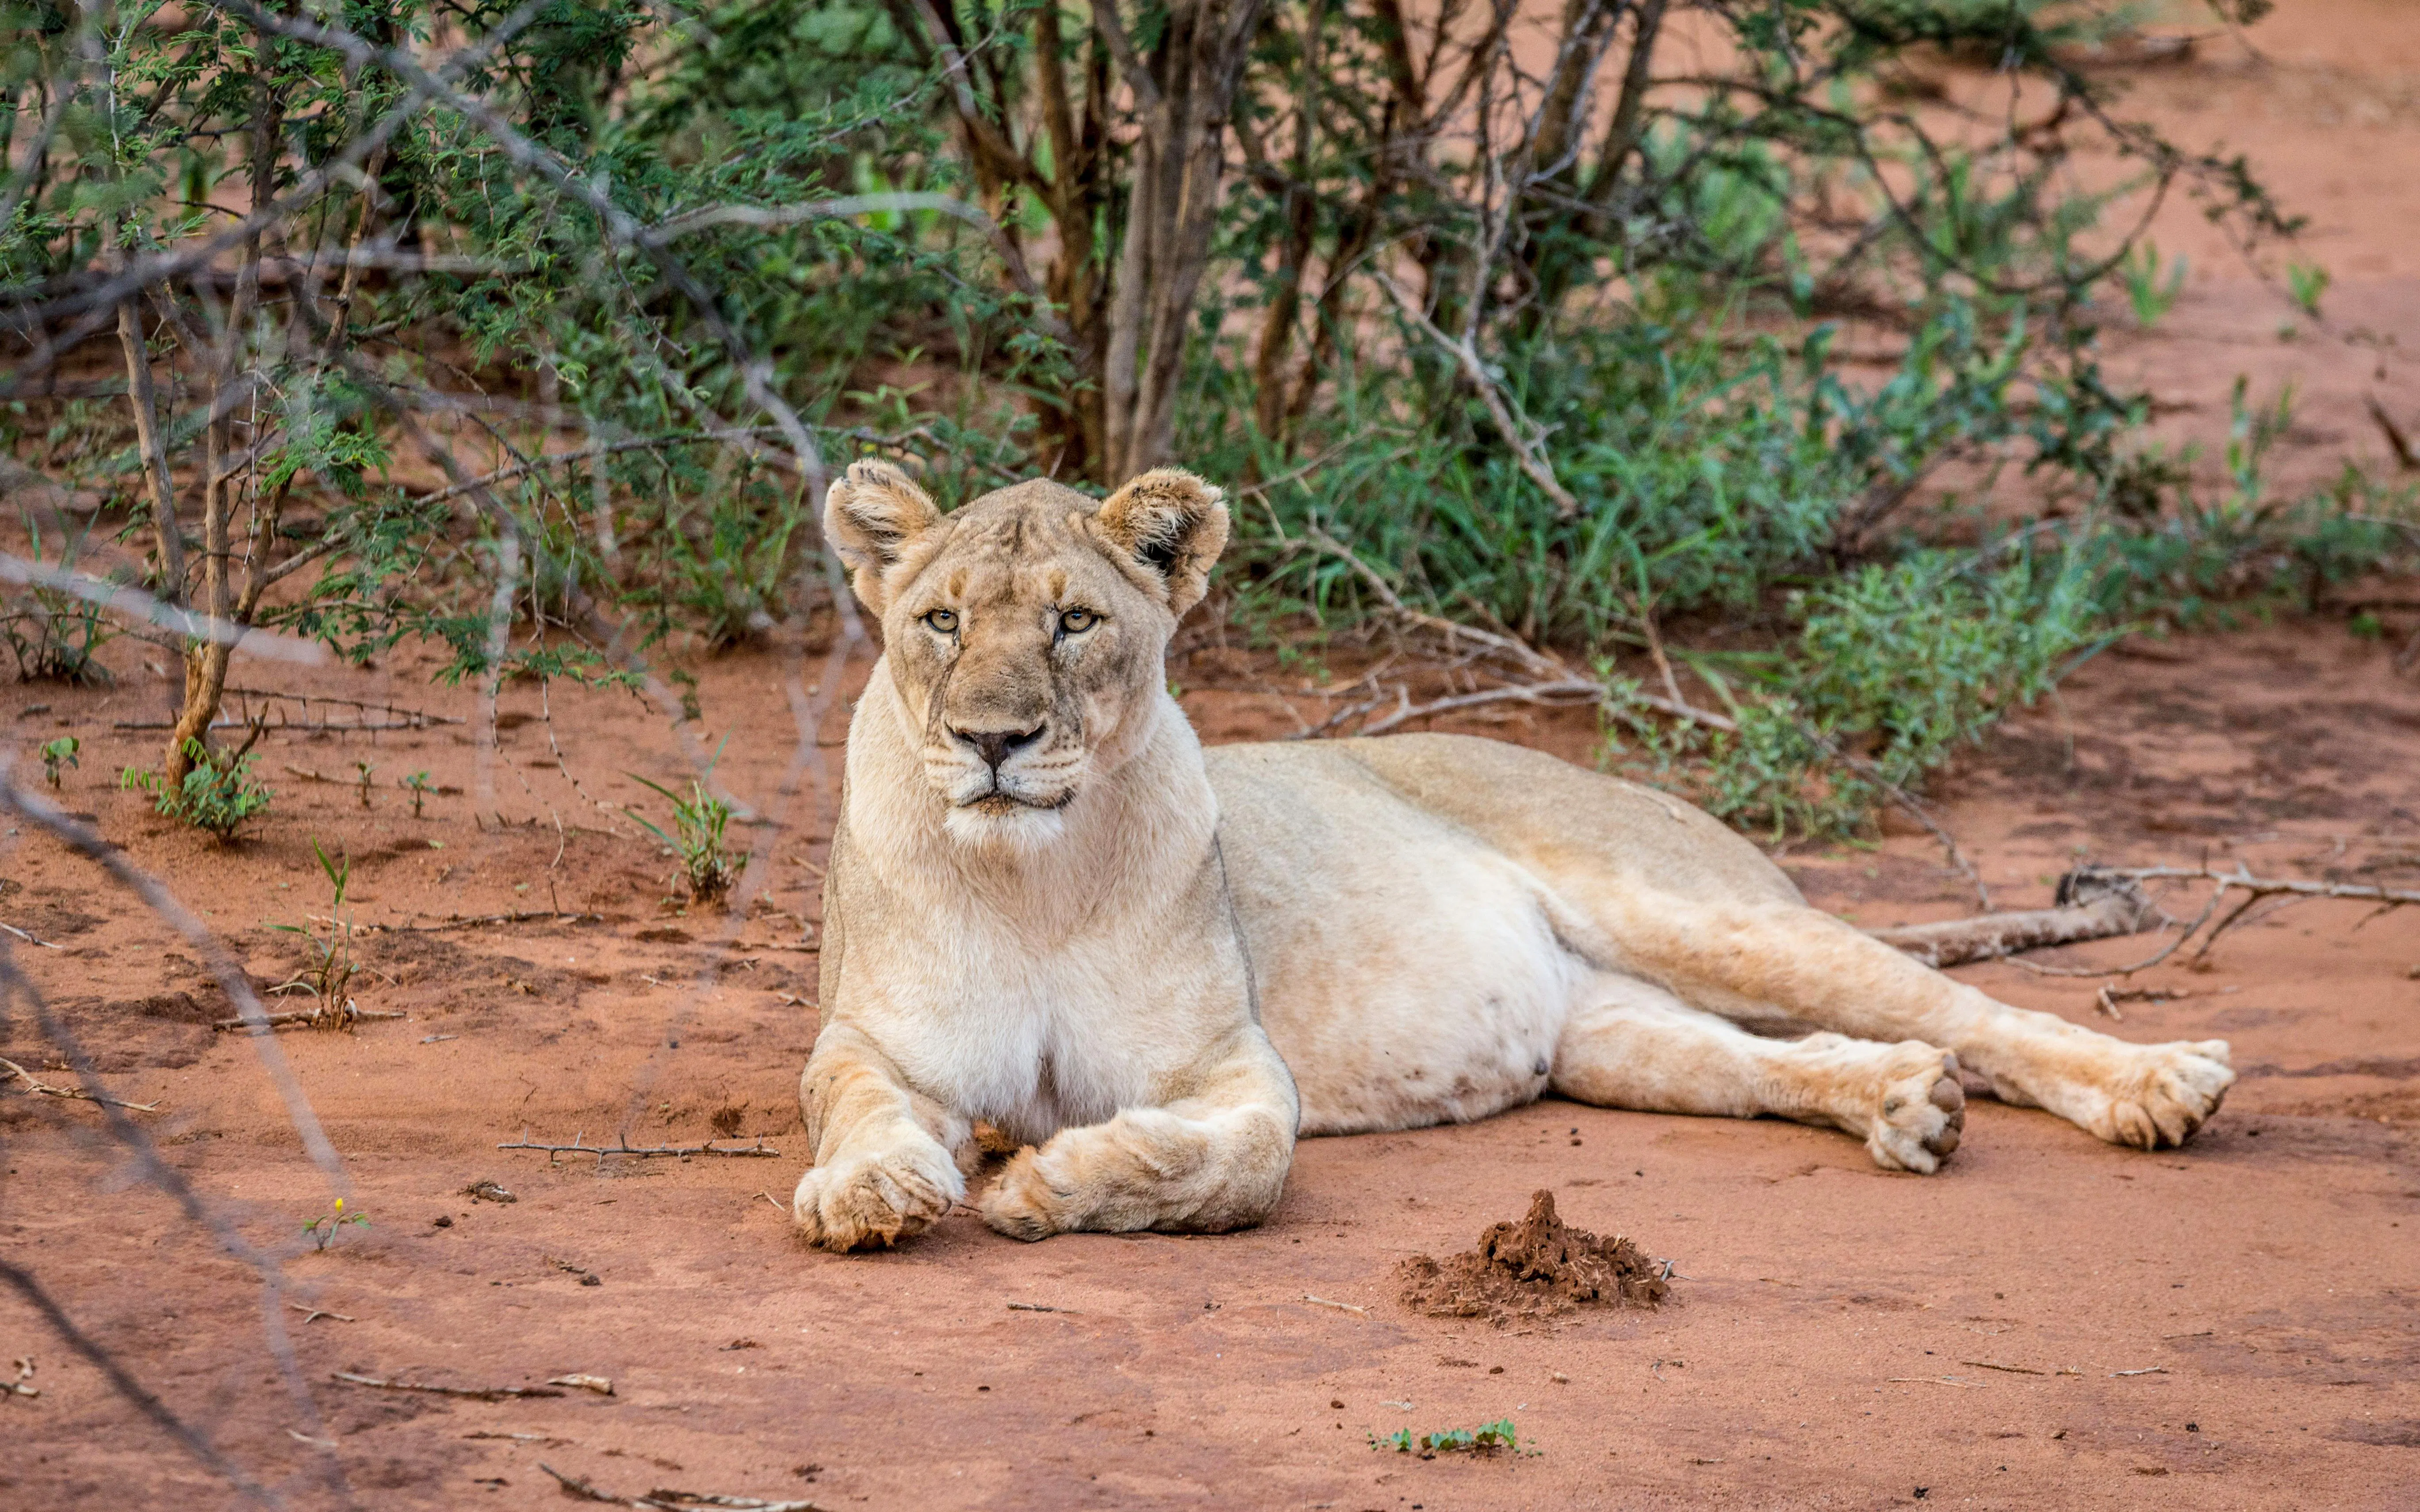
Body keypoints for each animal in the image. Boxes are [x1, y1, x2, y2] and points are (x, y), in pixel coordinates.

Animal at [791, 461, 2236, 1250]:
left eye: (1076, 622)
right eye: (939, 620)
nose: (991, 740)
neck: (1027, 874)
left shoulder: (1235, 1068)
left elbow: (1232, 1163)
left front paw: (1052, 1181)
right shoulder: (878, 1044)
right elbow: (856, 1105)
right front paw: (870, 1193)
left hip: (1705, 914)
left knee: (1973, 1012)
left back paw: (2159, 1084)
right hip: (1605, 1032)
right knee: (1775, 1057)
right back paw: (1901, 1103)